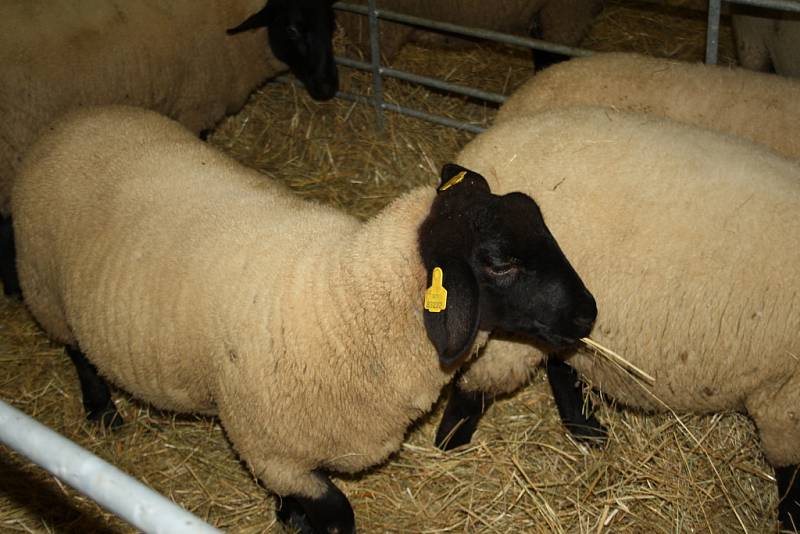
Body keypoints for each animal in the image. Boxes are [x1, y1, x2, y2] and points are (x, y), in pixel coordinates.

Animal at [9, 105, 596, 534]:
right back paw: (102, 412)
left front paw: (288, 516)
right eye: (499, 262)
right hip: (46, 289)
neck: (346, 304)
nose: (589, 313)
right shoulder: (271, 448)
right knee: (77, 352)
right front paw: (301, 521)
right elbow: (338, 514)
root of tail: (69, 119)